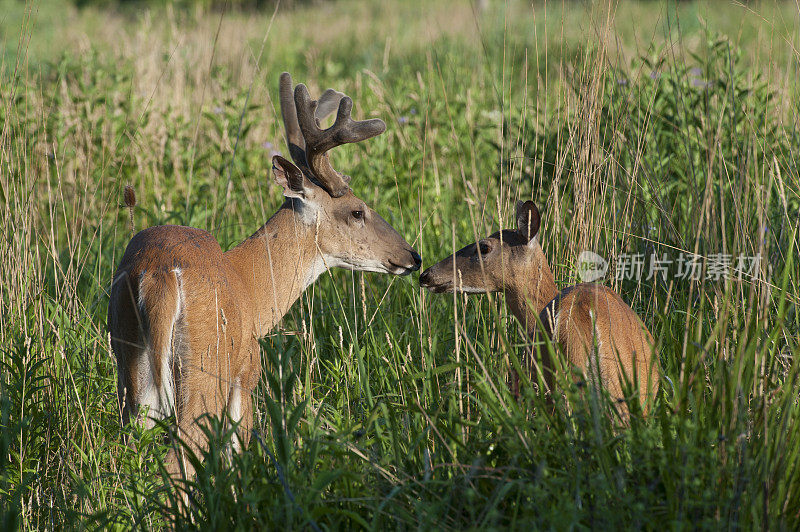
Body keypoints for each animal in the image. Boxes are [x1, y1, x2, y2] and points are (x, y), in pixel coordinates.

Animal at [108, 72, 422, 476]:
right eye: (357, 211)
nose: (412, 256)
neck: (254, 292)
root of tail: (158, 274)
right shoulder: (247, 374)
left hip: (131, 370)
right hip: (206, 367)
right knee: (180, 458)